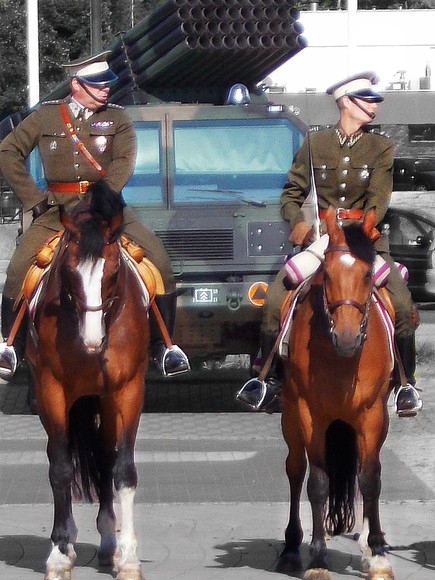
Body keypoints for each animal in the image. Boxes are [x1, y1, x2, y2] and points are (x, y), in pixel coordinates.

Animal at [27, 184, 151, 580]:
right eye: (69, 271)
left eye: (112, 271)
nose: (93, 340)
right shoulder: (51, 390)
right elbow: (61, 469)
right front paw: (59, 553)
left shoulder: (128, 390)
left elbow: (123, 471)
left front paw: (129, 557)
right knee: (62, 456)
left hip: (105, 401)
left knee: (107, 458)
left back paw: (110, 543)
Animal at [278, 207, 396, 580]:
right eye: (327, 274)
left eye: (368, 275)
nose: (346, 338)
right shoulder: (309, 412)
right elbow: (317, 482)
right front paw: (317, 558)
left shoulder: (372, 414)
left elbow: (370, 478)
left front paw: (377, 553)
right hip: (290, 416)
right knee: (295, 469)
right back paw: (291, 547)